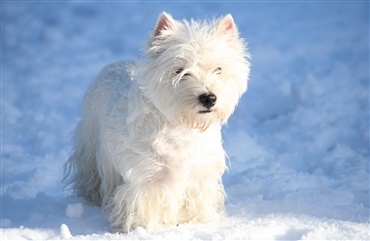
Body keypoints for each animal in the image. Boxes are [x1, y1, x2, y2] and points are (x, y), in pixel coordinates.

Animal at [63, 12, 250, 233]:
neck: (183, 129)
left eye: (218, 69)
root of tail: (115, 63)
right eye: (180, 71)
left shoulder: (200, 176)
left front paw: (195, 223)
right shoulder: (146, 178)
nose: (209, 98)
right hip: (91, 142)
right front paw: (145, 228)